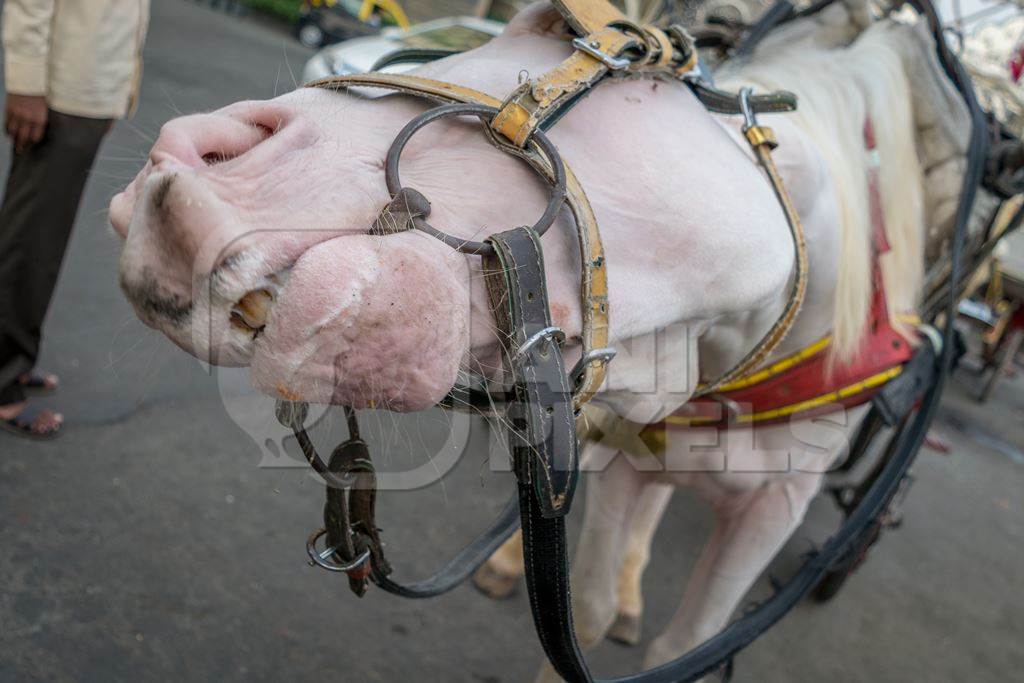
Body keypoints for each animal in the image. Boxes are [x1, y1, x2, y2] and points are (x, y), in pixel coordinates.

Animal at [112, 2, 966, 679]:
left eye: (567, 31)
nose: (195, 172)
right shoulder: (624, 448)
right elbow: (585, 605)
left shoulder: (774, 506)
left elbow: (686, 641)